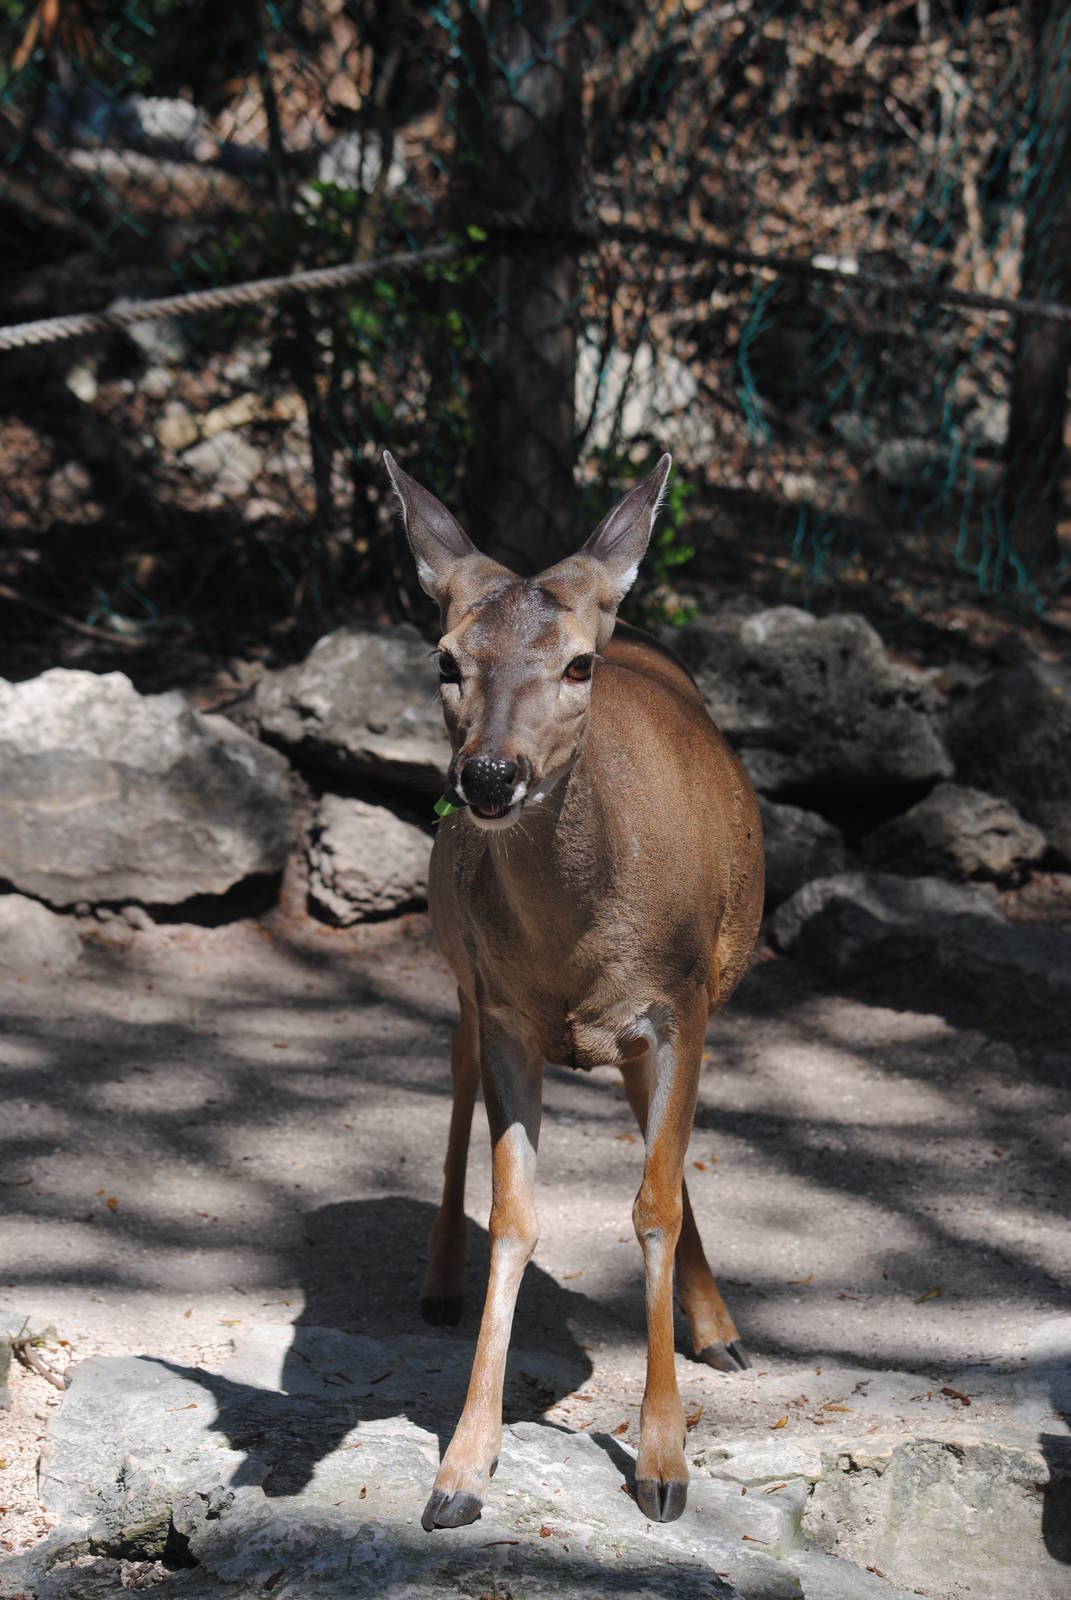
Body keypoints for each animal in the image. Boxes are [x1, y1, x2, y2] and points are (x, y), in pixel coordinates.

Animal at [383, 450, 764, 1531]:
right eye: (445, 660)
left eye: (578, 665)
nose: (488, 775)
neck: (577, 955)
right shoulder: (506, 1008)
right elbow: (515, 1216)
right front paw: (461, 1469)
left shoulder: (679, 1005)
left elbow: (655, 1205)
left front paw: (666, 1465)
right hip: (461, 973)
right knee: (455, 1076)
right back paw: (436, 1281)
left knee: (653, 1147)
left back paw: (720, 1329)